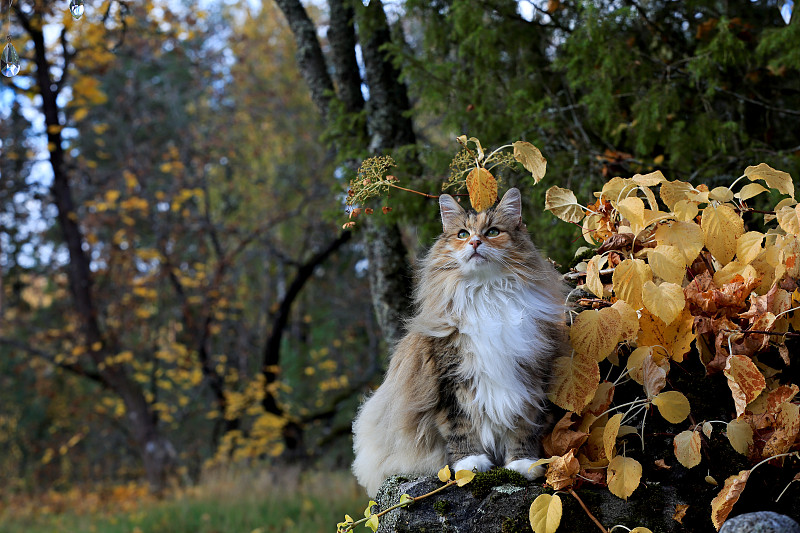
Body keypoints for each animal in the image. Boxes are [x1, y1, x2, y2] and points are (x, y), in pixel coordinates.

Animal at [352, 188, 568, 494]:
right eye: (463, 234)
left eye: (492, 232)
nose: (475, 242)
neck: (487, 294)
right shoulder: (448, 381)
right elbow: (459, 428)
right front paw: (471, 464)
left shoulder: (529, 377)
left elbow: (523, 427)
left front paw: (522, 464)